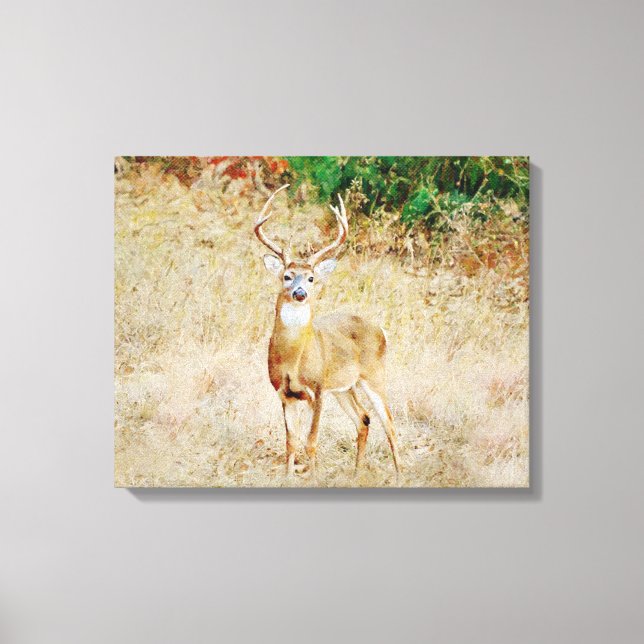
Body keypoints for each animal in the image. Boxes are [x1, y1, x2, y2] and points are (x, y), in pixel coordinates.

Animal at [254, 184, 400, 481]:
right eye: (287, 276)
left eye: (311, 278)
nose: (300, 293)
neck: (293, 361)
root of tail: (381, 330)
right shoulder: (284, 393)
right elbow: (291, 442)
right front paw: (288, 478)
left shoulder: (318, 389)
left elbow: (311, 441)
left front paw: (312, 477)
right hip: (345, 386)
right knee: (364, 419)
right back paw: (356, 474)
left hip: (374, 375)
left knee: (390, 425)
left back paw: (402, 475)